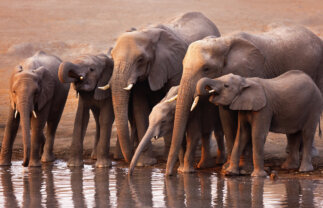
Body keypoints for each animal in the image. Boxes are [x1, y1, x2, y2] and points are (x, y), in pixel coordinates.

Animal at [100, 11, 223, 164]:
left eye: (140, 59)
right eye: (112, 57)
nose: (127, 160)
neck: (145, 31)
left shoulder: (175, 65)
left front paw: (167, 159)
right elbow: (140, 108)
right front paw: (145, 163)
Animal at [195, 70, 323, 176]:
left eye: (226, 86)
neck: (246, 81)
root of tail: (314, 83)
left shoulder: (264, 109)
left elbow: (257, 135)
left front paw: (257, 176)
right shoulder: (244, 106)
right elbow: (242, 135)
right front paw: (230, 173)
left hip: (314, 106)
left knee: (307, 134)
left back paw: (304, 170)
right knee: (293, 134)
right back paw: (288, 167)